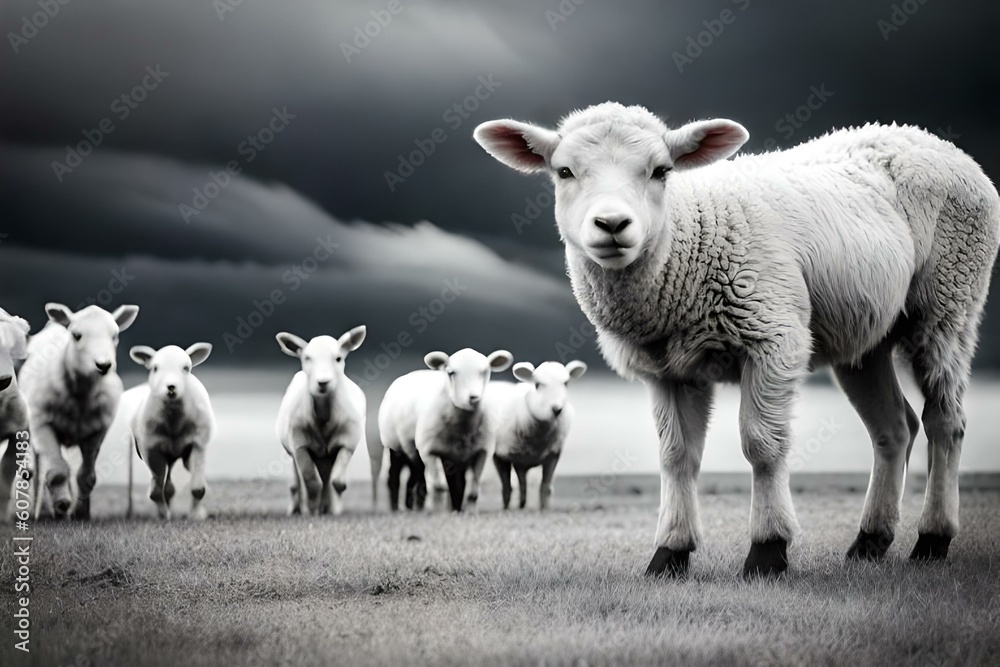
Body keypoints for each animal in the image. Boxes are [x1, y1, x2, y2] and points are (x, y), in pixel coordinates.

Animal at [19, 303, 139, 519]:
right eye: (76, 335)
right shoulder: (42, 423)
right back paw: (37, 510)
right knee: (36, 472)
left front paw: (81, 512)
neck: (80, 393)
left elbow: (86, 476)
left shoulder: (97, 430)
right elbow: (57, 472)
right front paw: (61, 505)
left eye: (115, 336)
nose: (103, 365)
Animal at [126, 343, 215, 519]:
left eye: (186, 368)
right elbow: (155, 492)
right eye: (155, 368)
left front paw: (195, 515)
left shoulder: (198, 444)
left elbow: (198, 488)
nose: (171, 387)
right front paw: (164, 516)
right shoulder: (151, 450)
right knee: (165, 486)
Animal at [275, 327, 370, 516]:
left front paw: (335, 507)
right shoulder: (300, 445)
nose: (323, 382)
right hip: (294, 451)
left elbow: (338, 482)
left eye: (338, 358)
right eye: (307, 358)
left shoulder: (347, 443)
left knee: (327, 478)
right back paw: (298, 508)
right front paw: (312, 509)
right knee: (298, 482)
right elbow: (311, 482)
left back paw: (326, 506)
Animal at [378, 348, 512, 512]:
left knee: (417, 479)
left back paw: (416, 508)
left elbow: (472, 491)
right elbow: (439, 487)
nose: (473, 397)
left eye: (485, 371)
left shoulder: (481, 452)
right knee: (394, 477)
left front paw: (467, 512)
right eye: (451, 372)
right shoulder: (429, 451)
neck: (463, 428)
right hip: (395, 446)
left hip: (419, 455)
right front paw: (440, 513)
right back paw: (397, 508)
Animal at [489, 360, 587, 510]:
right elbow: (506, 489)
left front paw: (544, 509)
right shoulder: (499, 455)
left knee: (523, 484)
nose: (557, 409)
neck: (536, 440)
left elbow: (545, 488)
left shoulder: (553, 455)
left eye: (566, 383)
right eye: (538, 385)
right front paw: (506, 510)